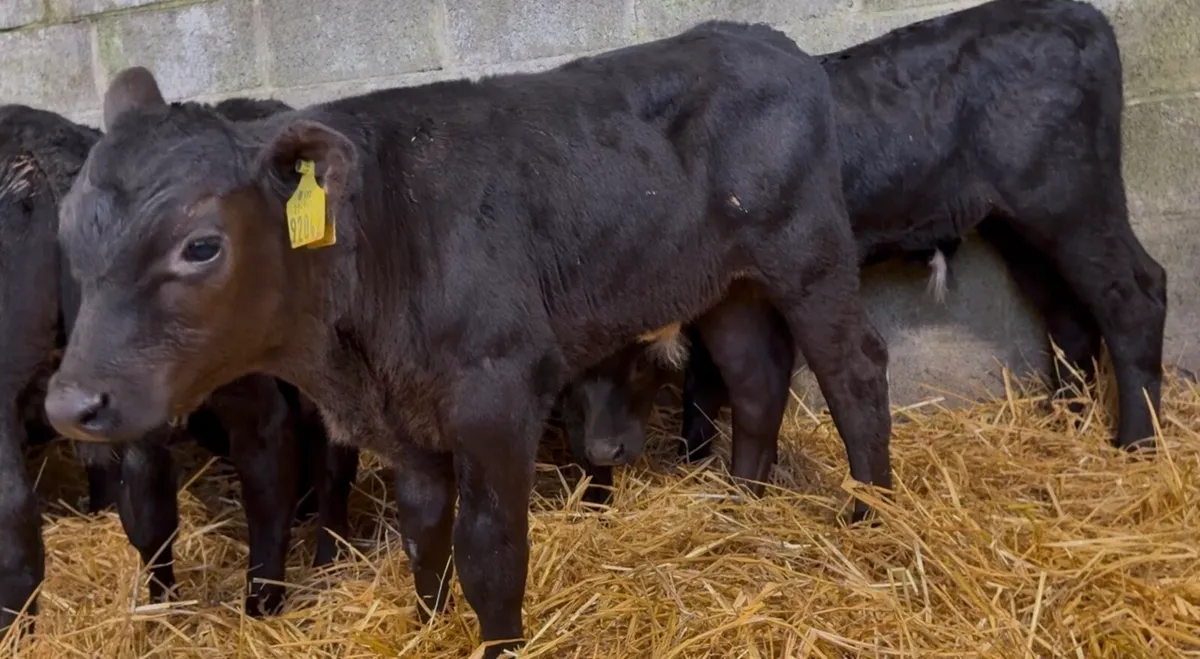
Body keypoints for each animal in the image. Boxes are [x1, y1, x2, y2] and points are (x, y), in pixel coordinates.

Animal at [43, 22, 893, 656]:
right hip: (725, 284)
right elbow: (425, 534)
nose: (72, 402)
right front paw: (427, 624)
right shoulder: (405, 423)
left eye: (201, 246)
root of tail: (766, 40)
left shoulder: (496, 394)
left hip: (809, 249)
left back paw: (872, 516)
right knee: (757, 379)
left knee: (855, 370)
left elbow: (491, 552)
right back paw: (741, 510)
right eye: (68, 226)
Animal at [562, 0, 1167, 505]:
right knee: (1068, 316)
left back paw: (1136, 443)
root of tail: (1080, 14)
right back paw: (1065, 422)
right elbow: (710, 378)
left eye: (629, 360)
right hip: (1017, 228)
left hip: (1073, 201)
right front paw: (695, 459)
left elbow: (714, 379)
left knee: (1136, 294)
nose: (602, 452)